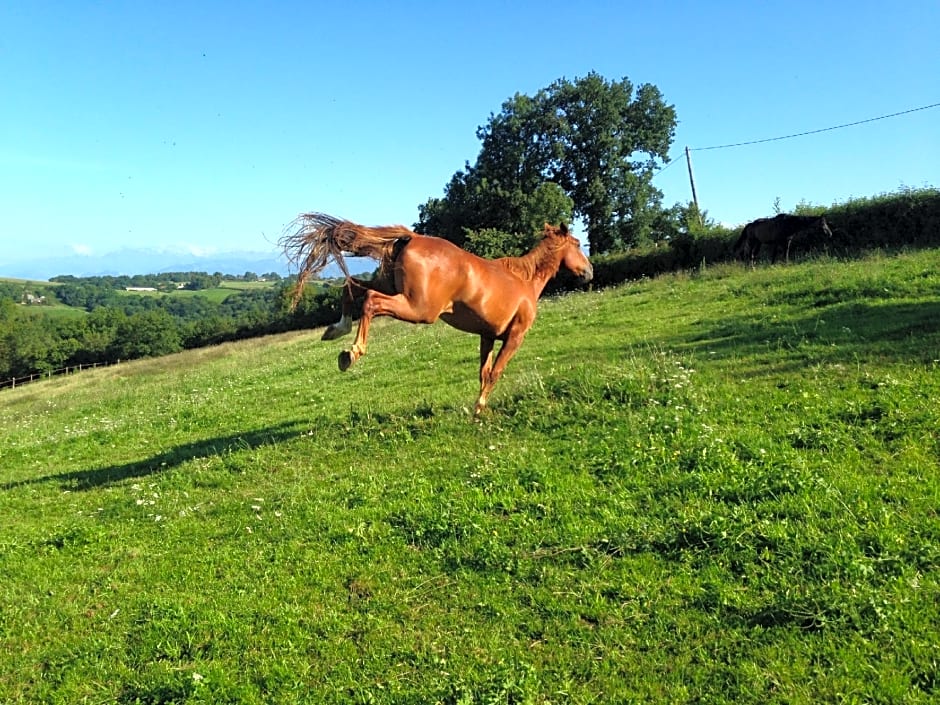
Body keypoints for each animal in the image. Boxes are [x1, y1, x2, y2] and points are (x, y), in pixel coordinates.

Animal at [280, 213, 592, 412]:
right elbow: (495, 373)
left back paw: (336, 331)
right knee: (370, 301)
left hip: (393, 287)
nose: (589, 272)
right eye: (578, 245)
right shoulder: (515, 336)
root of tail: (412, 238)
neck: (525, 280)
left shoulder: (487, 336)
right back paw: (351, 353)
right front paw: (479, 410)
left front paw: (478, 408)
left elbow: (483, 372)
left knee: (352, 289)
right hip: (419, 308)